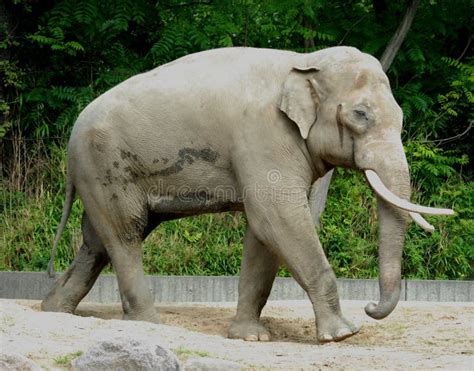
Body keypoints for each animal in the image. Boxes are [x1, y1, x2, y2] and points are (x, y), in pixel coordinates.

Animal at [42, 46, 454, 342]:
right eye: (360, 115)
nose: (369, 306)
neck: (304, 61)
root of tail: (72, 136)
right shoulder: (264, 134)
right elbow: (278, 218)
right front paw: (342, 334)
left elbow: (263, 232)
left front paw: (251, 337)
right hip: (105, 164)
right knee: (125, 234)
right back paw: (148, 324)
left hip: (102, 172)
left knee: (96, 241)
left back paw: (52, 310)